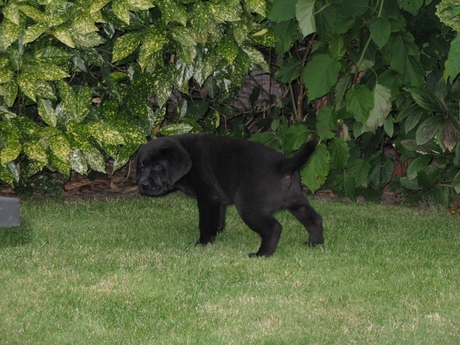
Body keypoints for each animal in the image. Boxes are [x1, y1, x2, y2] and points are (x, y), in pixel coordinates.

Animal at [137, 133, 324, 256]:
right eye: (142, 165)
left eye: (159, 166)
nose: (142, 185)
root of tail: (283, 165)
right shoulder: (217, 200)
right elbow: (218, 217)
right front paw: (217, 232)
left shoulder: (207, 197)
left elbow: (205, 223)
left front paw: (203, 243)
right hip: (297, 202)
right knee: (314, 220)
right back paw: (314, 244)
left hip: (249, 208)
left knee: (274, 228)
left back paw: (261, 254)